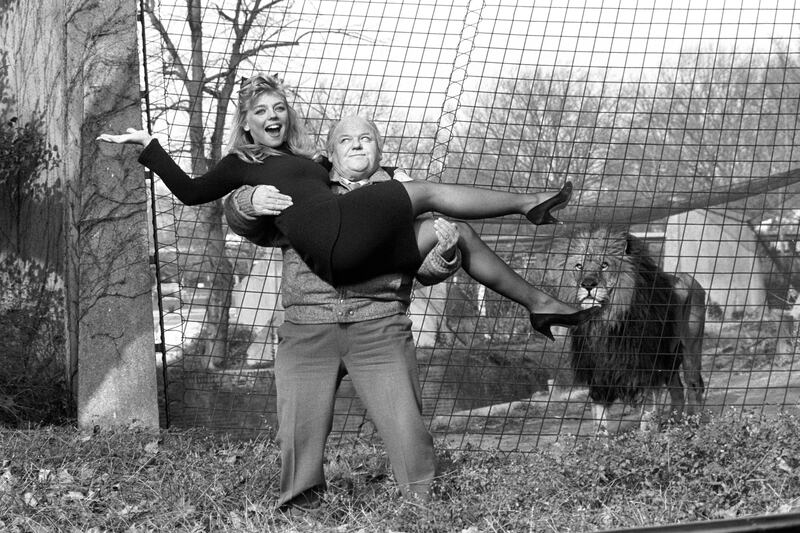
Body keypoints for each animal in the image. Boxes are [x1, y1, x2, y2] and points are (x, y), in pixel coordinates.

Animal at [556, 225, 708, 432]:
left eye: (604, 265)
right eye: (579, 266)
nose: (587, 284)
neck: (604, 320)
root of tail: (690, 279)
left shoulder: (646, 368)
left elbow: (648, 414)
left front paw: (646, 436)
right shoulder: (598, 372)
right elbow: (599, 419)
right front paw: (600, 438)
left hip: (690, 348)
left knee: (694, 386)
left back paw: (693, 424)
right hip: (668, 358)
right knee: (678, 391)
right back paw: (673, 425)